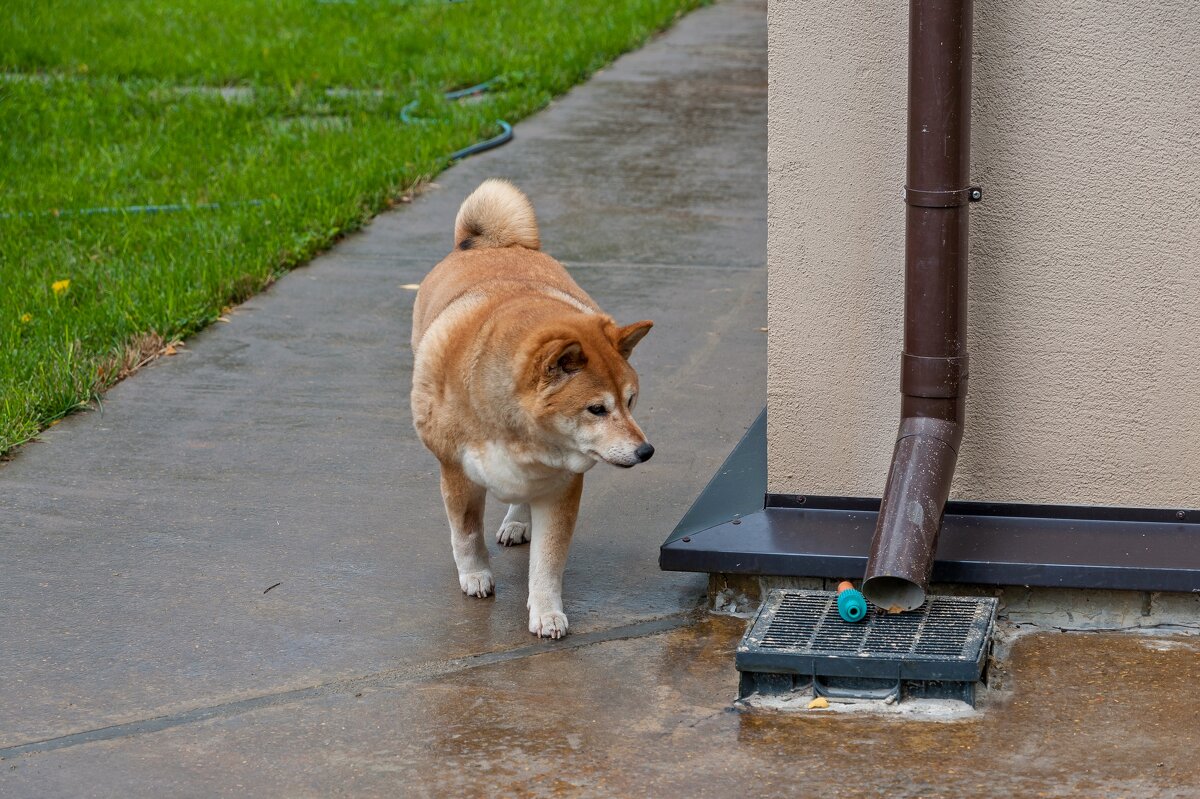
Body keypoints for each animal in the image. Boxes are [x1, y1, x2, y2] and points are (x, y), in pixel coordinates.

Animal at [412, 178, 657, 633]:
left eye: (631, 401)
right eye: (597, 409)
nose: (646, 450)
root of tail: (490, 244)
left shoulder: (562, 486)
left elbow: (548, 560)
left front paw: (546, 611)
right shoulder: (456, 471)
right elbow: (466, 534)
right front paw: (475, 575)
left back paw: (516, 521)